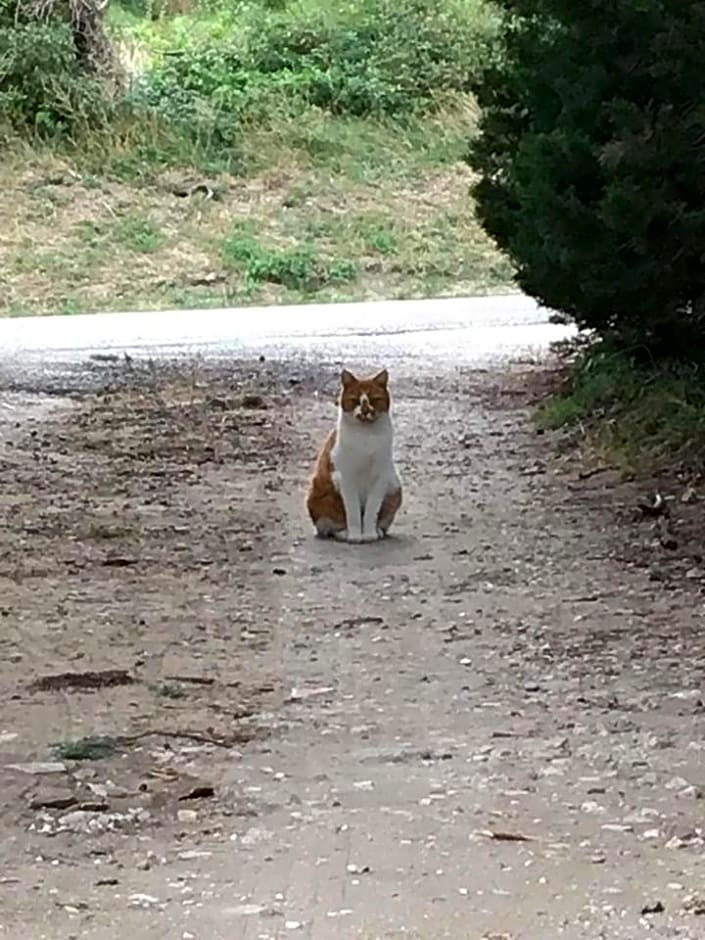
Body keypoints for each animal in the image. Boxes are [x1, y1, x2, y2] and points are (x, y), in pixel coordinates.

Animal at [306, 370, 402, 544]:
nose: (365, 411)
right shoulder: (346, 478)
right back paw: (344, 533)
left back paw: (378, 531)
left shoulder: (380, 477)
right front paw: (356, 536)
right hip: (320, 493)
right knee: (331, 524)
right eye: (355, 400)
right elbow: (353, 512)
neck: (365, 436)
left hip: (395, 487)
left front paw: (369, 534)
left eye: (375, 399)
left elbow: (371, 511)